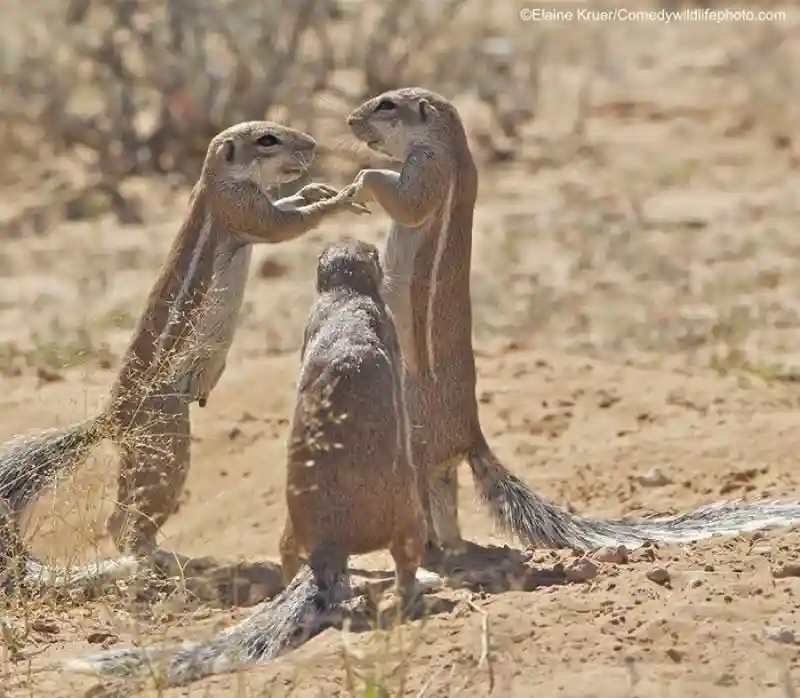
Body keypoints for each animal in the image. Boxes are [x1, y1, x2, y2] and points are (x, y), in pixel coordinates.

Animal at [0, 119, 366, 588]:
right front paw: (340, 197)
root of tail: (111, 418)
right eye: (267, 140)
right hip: (167, 446)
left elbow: (288, 206)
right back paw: (155, 564)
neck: (213, 181)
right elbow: (285, 224)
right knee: (123, 525)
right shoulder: (242, 209)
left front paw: (314, 189)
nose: (313, 145)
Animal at [62, 241, 438, 684]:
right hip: (408, 515)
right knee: (405, 564)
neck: (343, 296)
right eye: (371, 253)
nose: (368, 249)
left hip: (293, 528)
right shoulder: (384, 321)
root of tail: (328, 548)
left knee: (287, 550)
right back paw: (419, 589)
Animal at [342, 87, 800, 552]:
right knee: (443, 500)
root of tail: (470, 435)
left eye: (386, 105)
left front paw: (360, 182)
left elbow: (407, 202)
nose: (350, 121)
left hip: (414, 437)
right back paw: (449, 548)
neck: (449, 144)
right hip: (436, 464)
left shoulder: (430, 172)